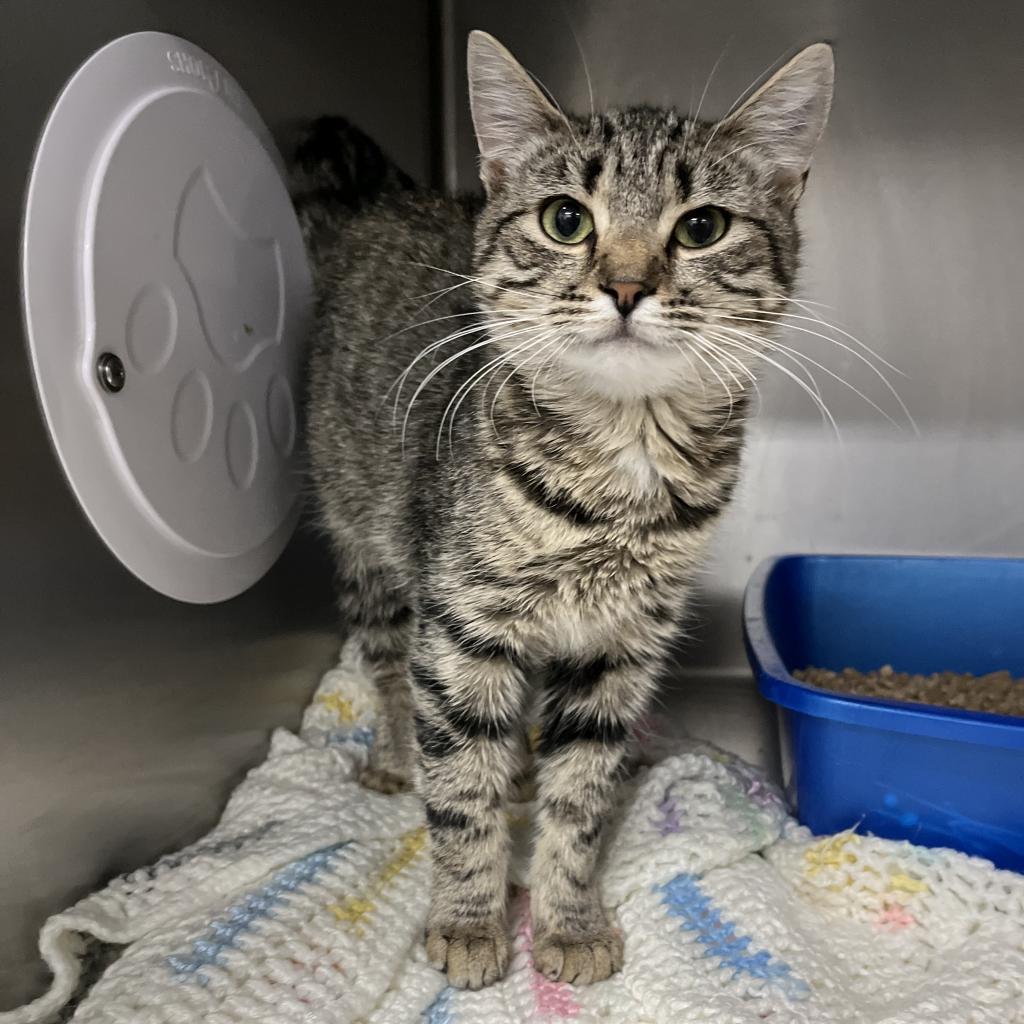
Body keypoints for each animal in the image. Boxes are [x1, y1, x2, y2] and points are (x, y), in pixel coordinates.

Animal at [294, 29, 831, 991]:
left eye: (702, 227)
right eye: (565, 220)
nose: (625, 285)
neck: (619, 467)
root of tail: (382, 209)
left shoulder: (618, 653)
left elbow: (580, 804)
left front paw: (569, 922)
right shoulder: (462, 629)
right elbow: (459, 795)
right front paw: (469, 920)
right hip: (370, 546)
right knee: (390, 671)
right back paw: (397, 756)